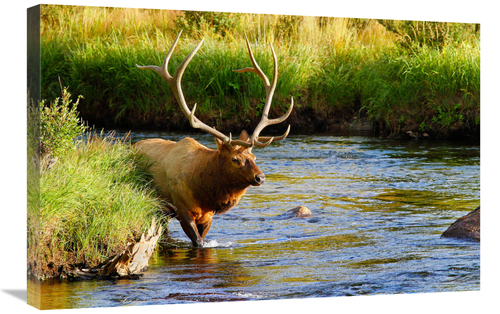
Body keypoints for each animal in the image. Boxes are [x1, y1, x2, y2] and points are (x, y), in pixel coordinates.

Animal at [135, 31, 294, 248]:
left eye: (255, 158)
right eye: (235, 159)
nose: (260, 177)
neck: (205, 193)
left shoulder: (208, 217)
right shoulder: (182, 209)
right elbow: (198, 243)